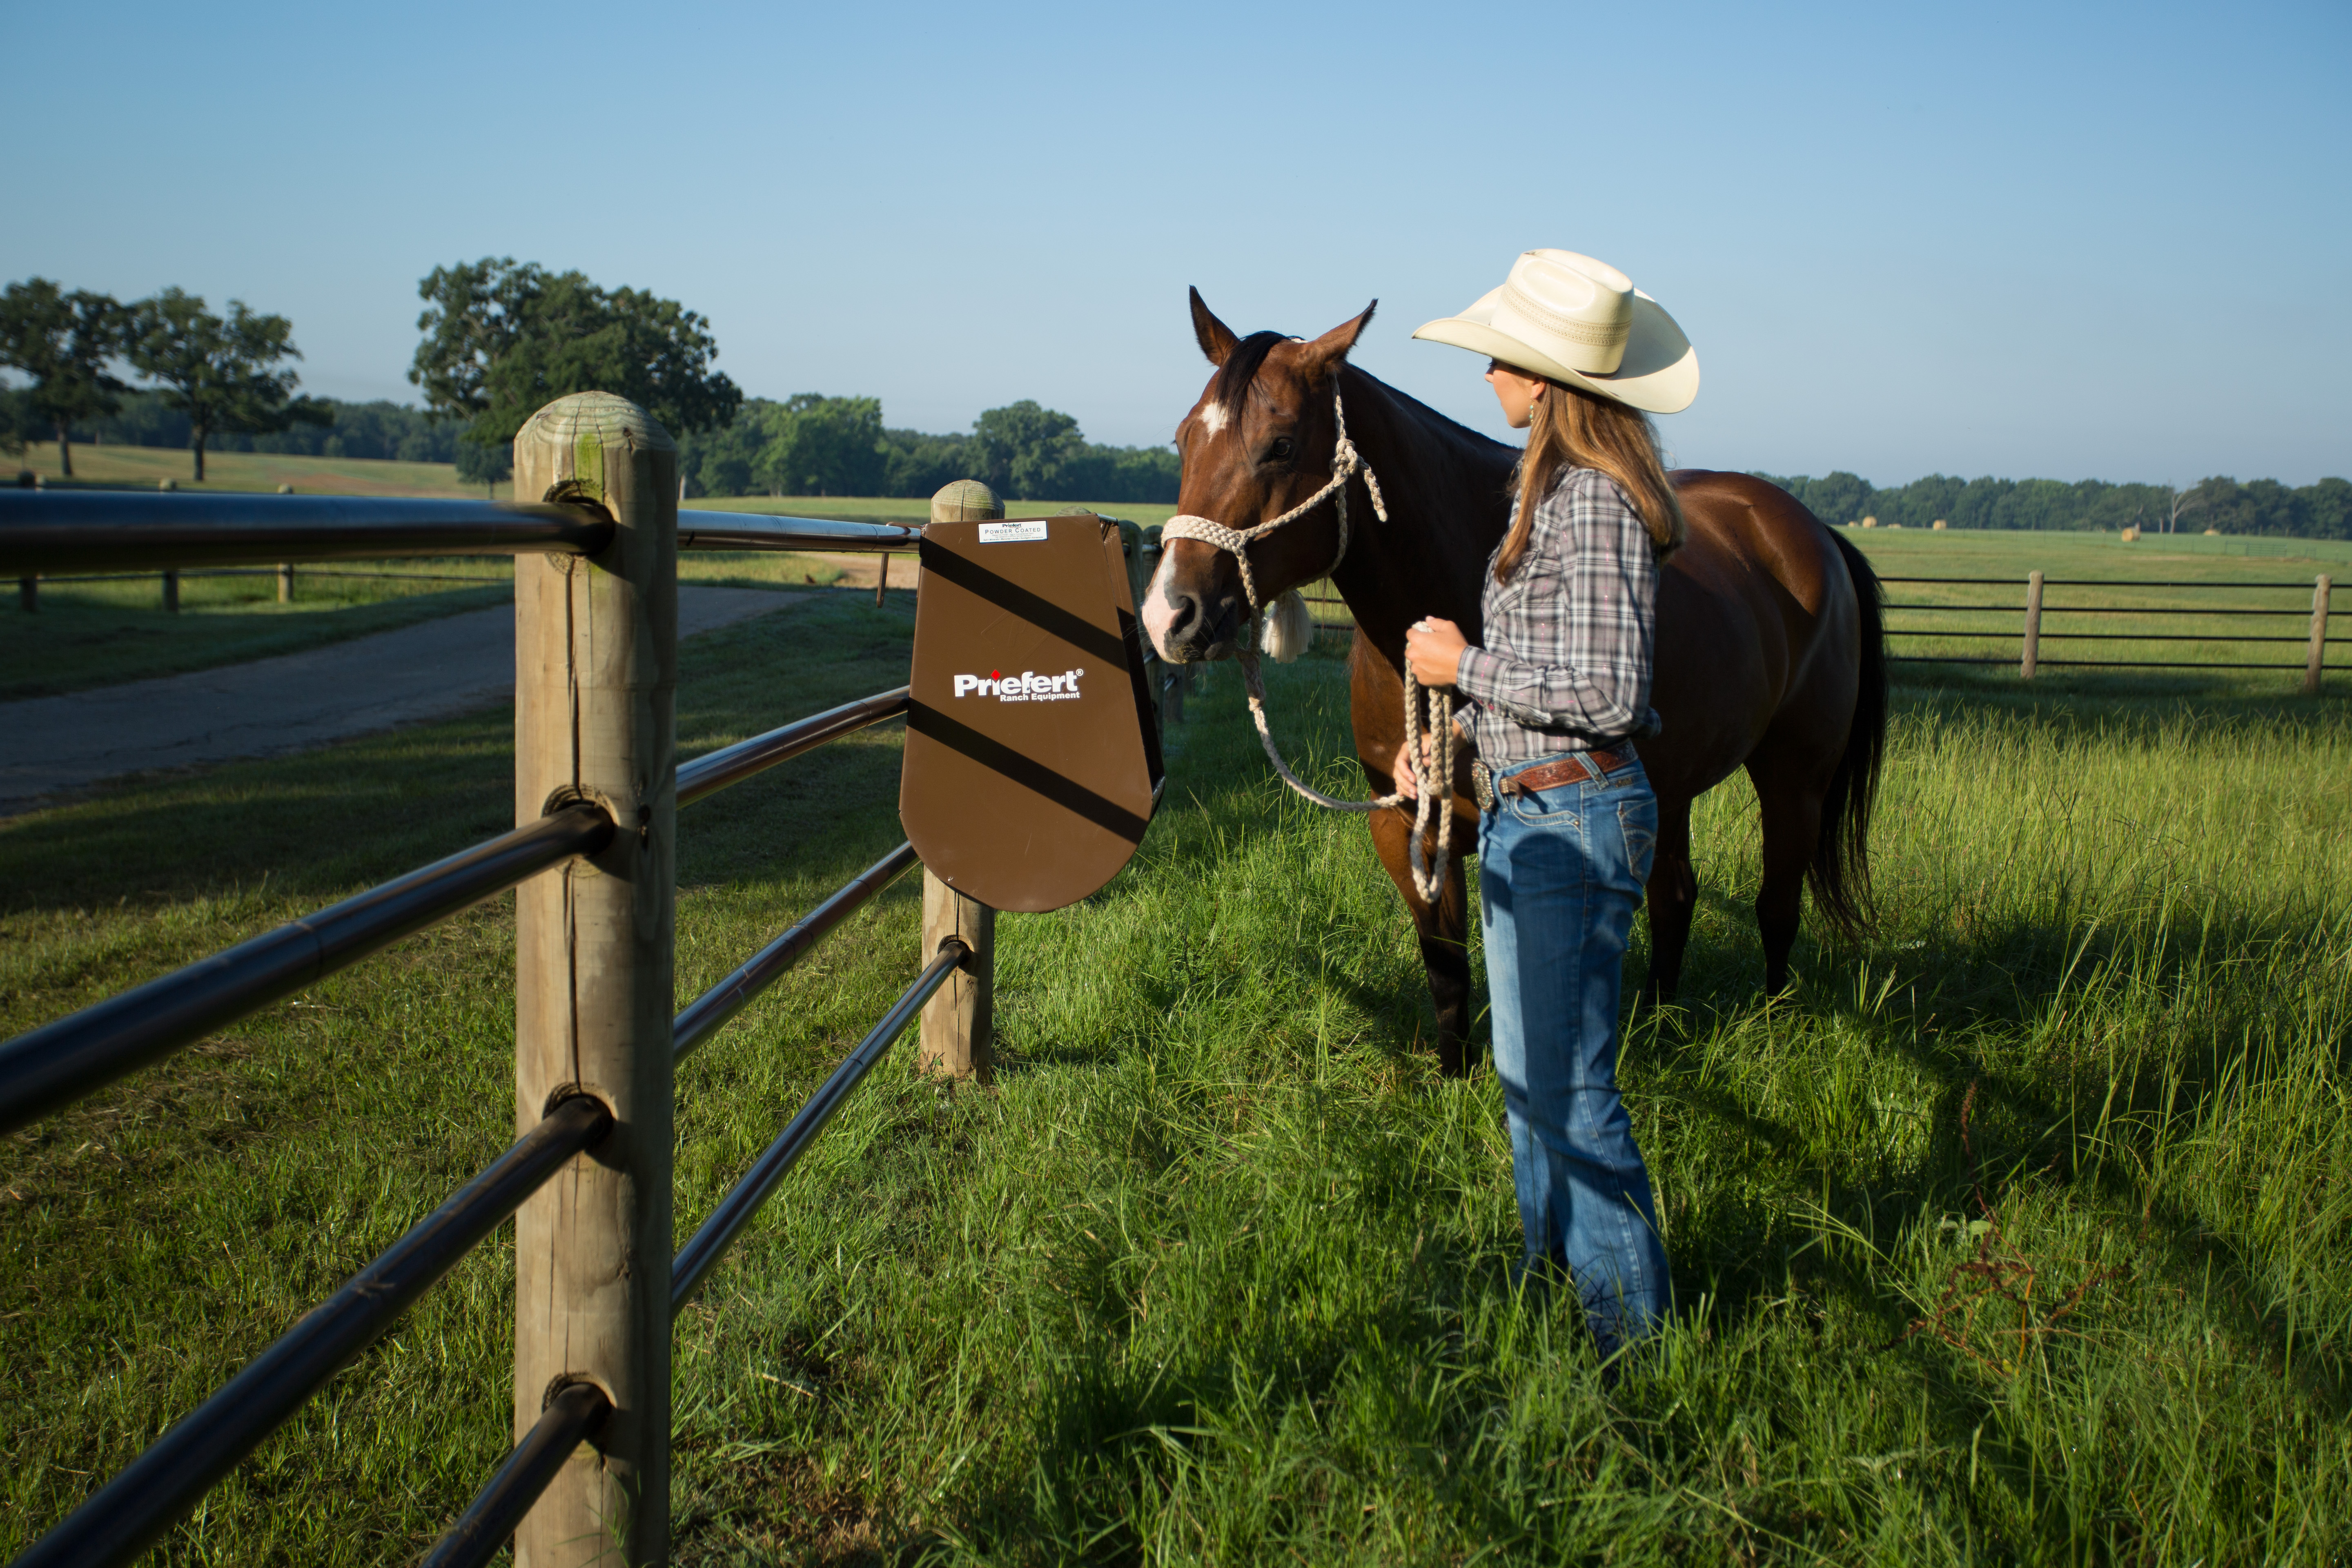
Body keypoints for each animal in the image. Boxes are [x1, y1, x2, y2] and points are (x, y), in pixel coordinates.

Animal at [1141, 291, 1889, 1078]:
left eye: (1281, 445)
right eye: (1185, 440)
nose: (1170, 614)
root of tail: (1811, 533)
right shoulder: (1402, 825)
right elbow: (1446, 965)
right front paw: (1450, 1075)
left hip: (1796, 775)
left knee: (1778, 905)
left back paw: (1773, 1023)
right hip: (1675, 786)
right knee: (1676, 895)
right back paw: (1661, 1023)